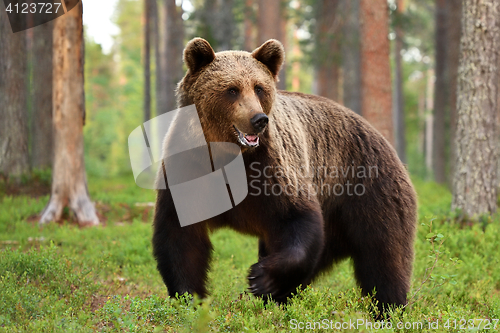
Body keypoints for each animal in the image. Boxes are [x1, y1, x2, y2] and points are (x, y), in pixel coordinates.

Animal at [152, 37, 418, 316]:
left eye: (259, 88)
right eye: (232, 89)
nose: (258, 119)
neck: (226, 156)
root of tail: (384, 141)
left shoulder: (272, 168)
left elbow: (296, 218)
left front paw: (261, 278)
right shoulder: (189, 170)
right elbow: (180, 236)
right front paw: (189, 297)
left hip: (366, 190)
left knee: (384, 256)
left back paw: (389, 308)